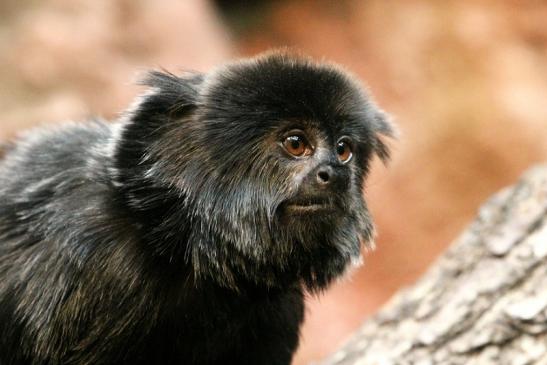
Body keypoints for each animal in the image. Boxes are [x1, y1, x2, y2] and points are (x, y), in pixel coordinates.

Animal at [0, 52, 394, 364]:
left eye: (344, 149)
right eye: (296, 143)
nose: (335, 173)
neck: (184, 253)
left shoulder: (280, 311)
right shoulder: (89, 258)